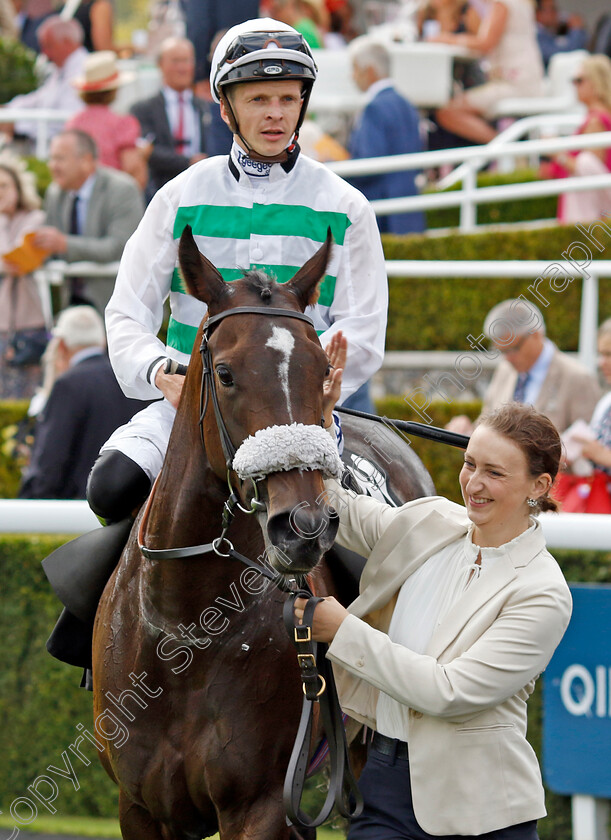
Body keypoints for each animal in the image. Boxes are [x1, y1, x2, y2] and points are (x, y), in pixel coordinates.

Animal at [92, 226, 436, 836]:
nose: (303, 527)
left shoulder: (263, 803)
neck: (185, 630)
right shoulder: (140, 807)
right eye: (226, 373)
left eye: (323, 371)